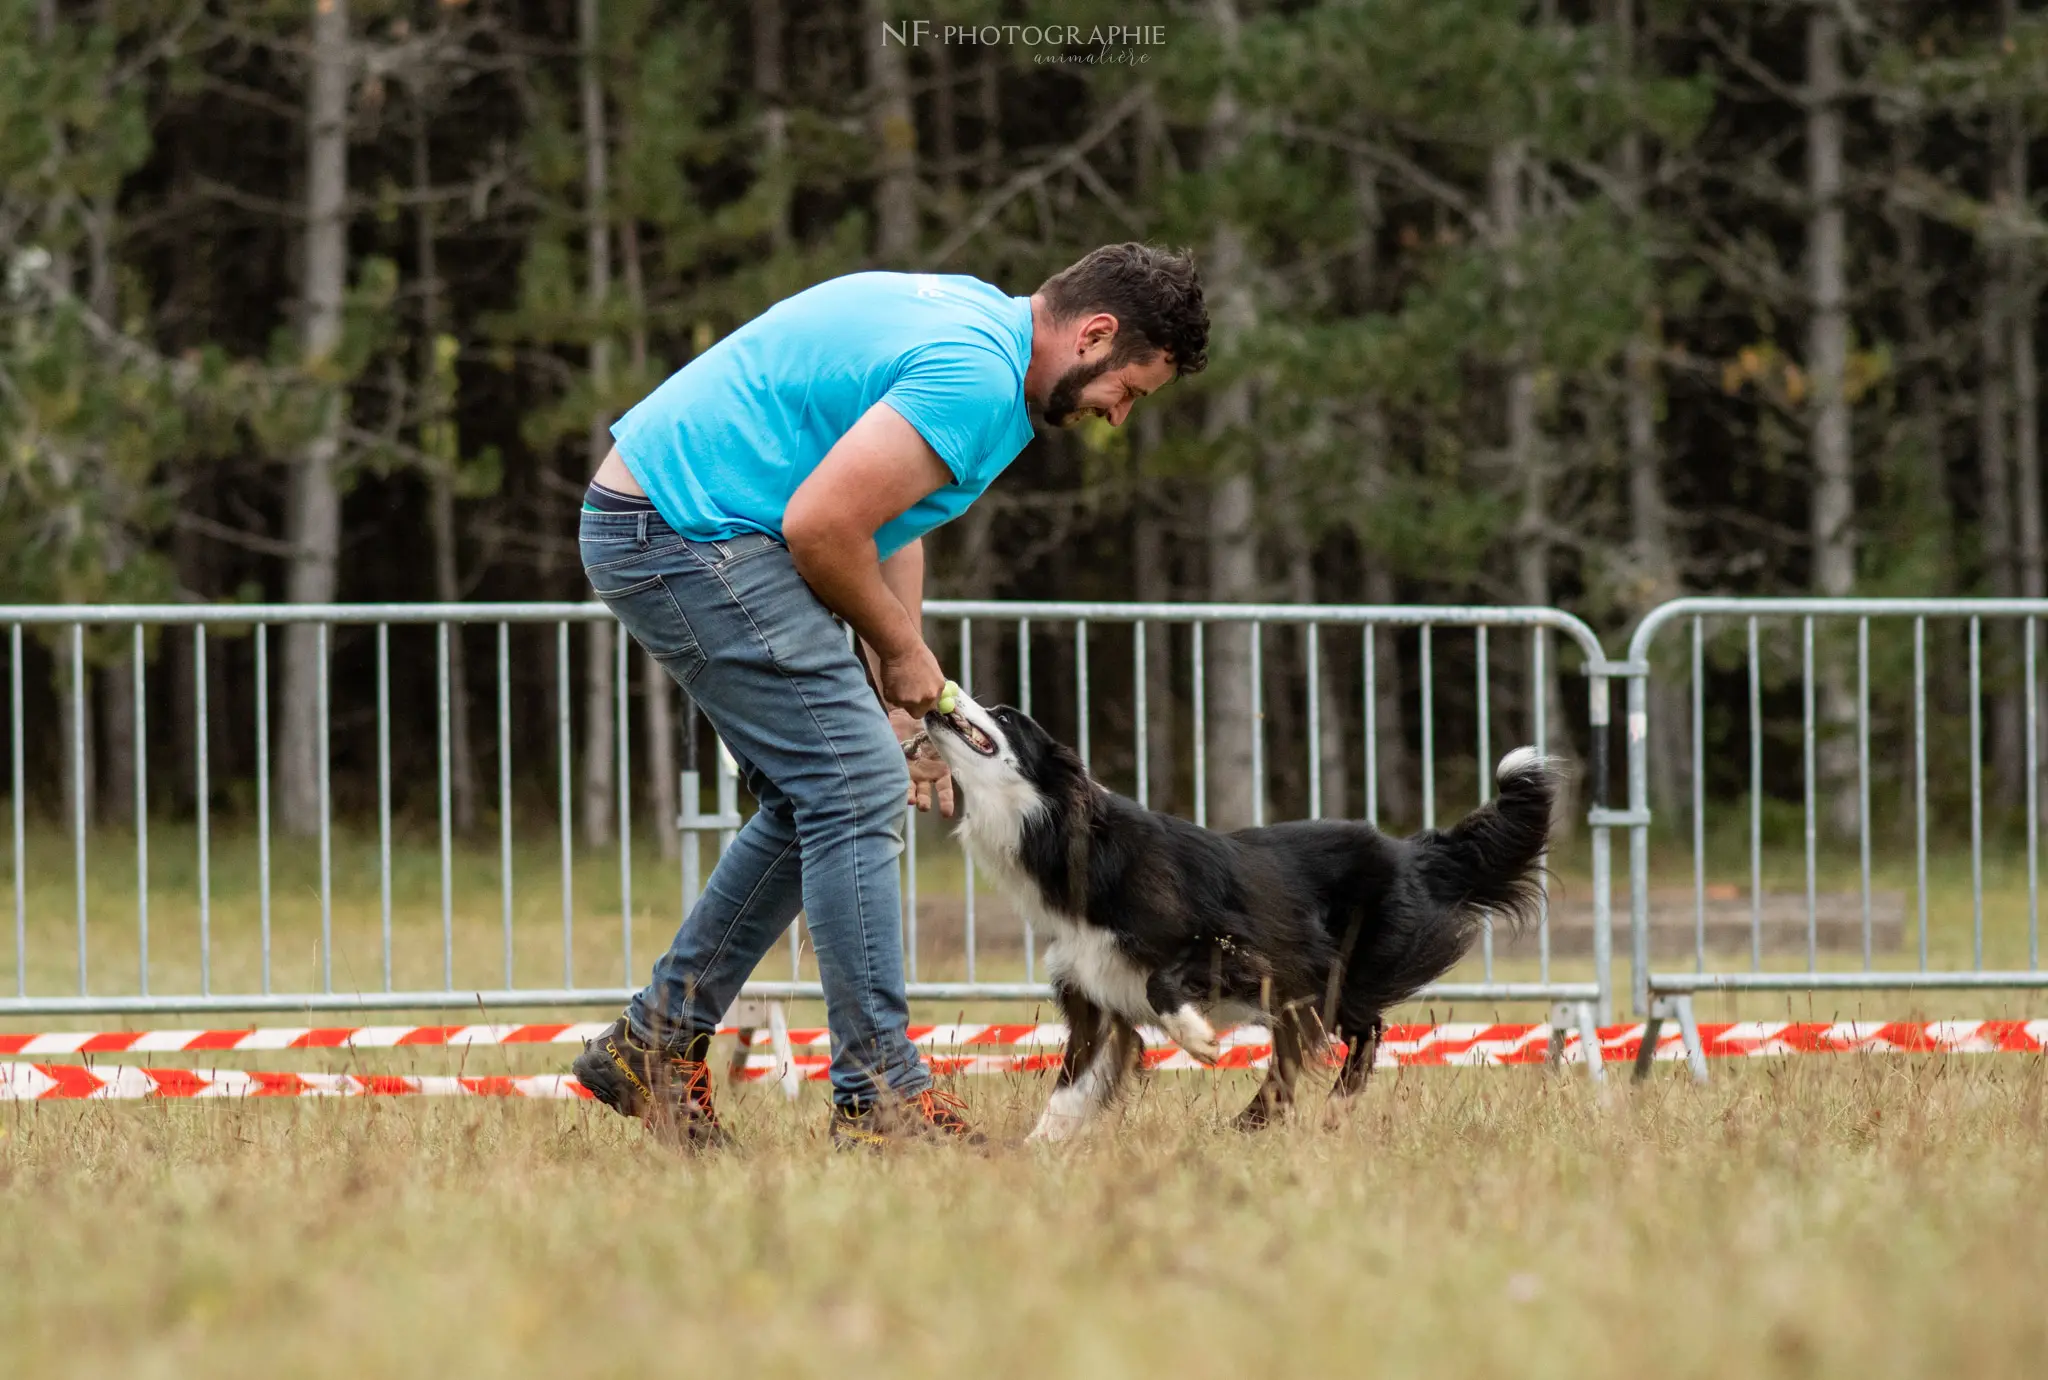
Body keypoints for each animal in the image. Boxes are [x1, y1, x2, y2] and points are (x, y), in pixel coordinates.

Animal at [921, 692, 1556, 1130]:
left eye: (1005, 717)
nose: (932, 705)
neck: (1066, 839)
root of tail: (1413, 852)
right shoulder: (1095, 1002)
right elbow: (1069, 1093)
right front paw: (1031, 1156)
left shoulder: (1236, 942)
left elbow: (1162, 979)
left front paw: (1199, 1039)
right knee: (1310, 1046)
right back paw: (1259, 1120)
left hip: (1341, 966)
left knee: (1362, 1031)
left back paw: (1309, 1111)